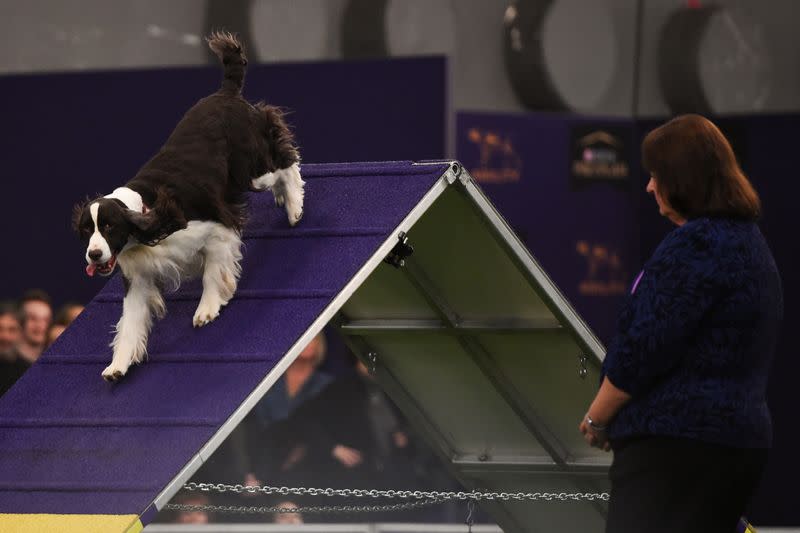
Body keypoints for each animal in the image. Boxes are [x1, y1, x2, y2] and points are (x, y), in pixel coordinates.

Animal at [72, 33, 304, 380]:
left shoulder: (215, 228)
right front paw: (117, 365)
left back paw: (293, 206)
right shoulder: (138, 276)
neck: (144, 215)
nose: (94, 255)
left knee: (284, 162)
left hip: (250, 167)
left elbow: (212, 271)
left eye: (109, 227)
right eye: (87, 231)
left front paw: (206, 310)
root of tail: (225, 92)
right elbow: (130, 320)